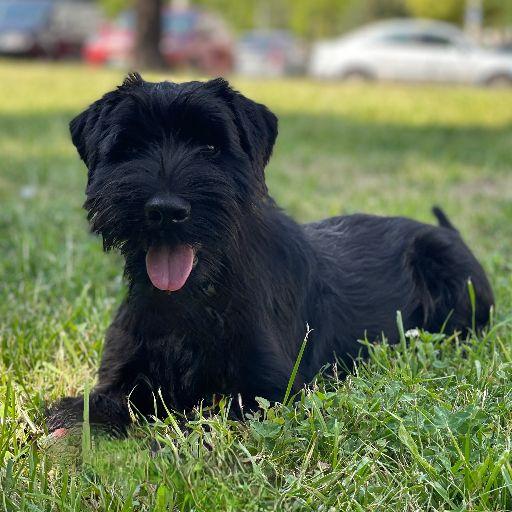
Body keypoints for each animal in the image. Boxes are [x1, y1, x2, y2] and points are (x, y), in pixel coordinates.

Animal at [46, 74, 494, 434]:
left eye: (211, 146)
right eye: (131, 145)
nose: (166, 211)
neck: (194, 300)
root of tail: (446, 232)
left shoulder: (267, 390)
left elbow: (199, 418)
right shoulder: (123, 375)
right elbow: (93, 405)